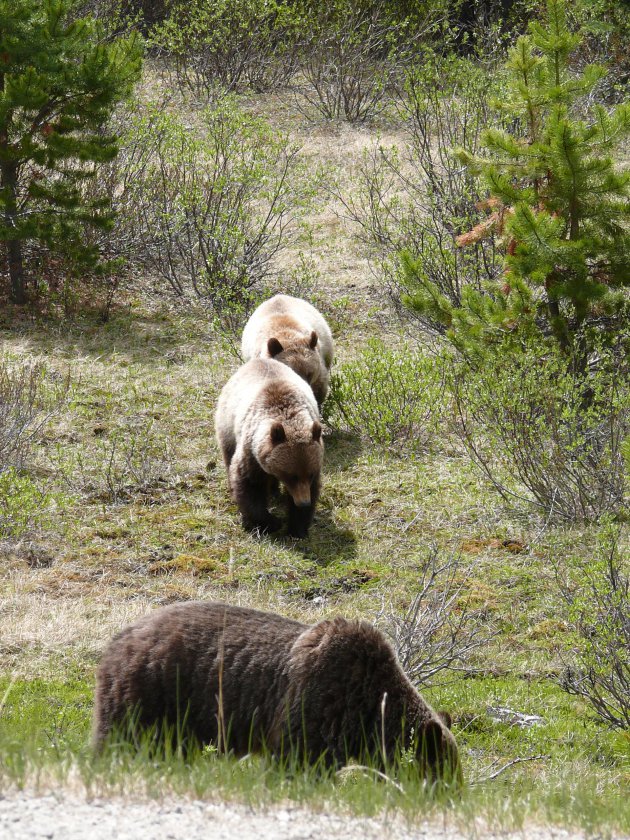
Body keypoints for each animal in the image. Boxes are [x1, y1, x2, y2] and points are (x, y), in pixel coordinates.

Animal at [92, 600, 464, 784]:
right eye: (444, 773)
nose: (453, 796)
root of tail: (118, 638)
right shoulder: (316, 700)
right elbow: (296, 759)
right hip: (150, 691)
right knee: (121, 738)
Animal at [217, 356, 326, 540]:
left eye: (310, 474)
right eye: (292, 476)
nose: (303, 502)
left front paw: (298, 528)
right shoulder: (251, 452)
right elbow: (249, 484)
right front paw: (271, 522)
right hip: (227, 424)